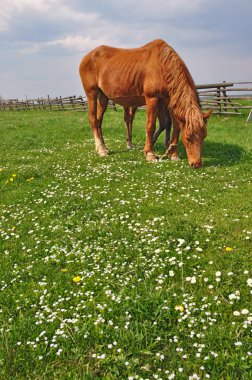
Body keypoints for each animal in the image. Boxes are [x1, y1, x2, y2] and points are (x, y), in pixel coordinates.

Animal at [79, 39, 213, 168]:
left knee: (99, 121)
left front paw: (173, 154)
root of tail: (86, 57)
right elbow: (150, 126)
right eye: (188, 138)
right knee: (93, 119)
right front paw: (149, 153)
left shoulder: (169, 101)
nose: (196, 164)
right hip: (92, 93)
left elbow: (174, 127)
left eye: (204, 136)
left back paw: (103, 146)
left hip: (103, 97)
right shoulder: (152, 99)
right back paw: (101, 149)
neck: (162, 65)